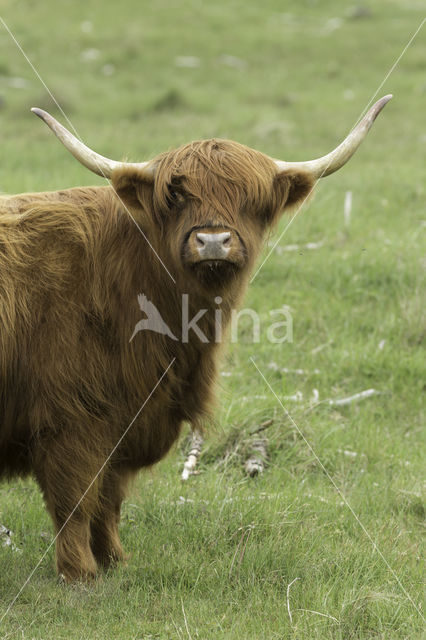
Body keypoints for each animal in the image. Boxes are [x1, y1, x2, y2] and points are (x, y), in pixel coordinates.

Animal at [0, 95, 392, 580]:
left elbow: (110, 498)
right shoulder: (71, 418)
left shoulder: (126, 418)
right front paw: (80, 575)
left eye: (251, 200)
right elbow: (76, 500)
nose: (213, 240)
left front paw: (115, 561)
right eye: (175, 198)